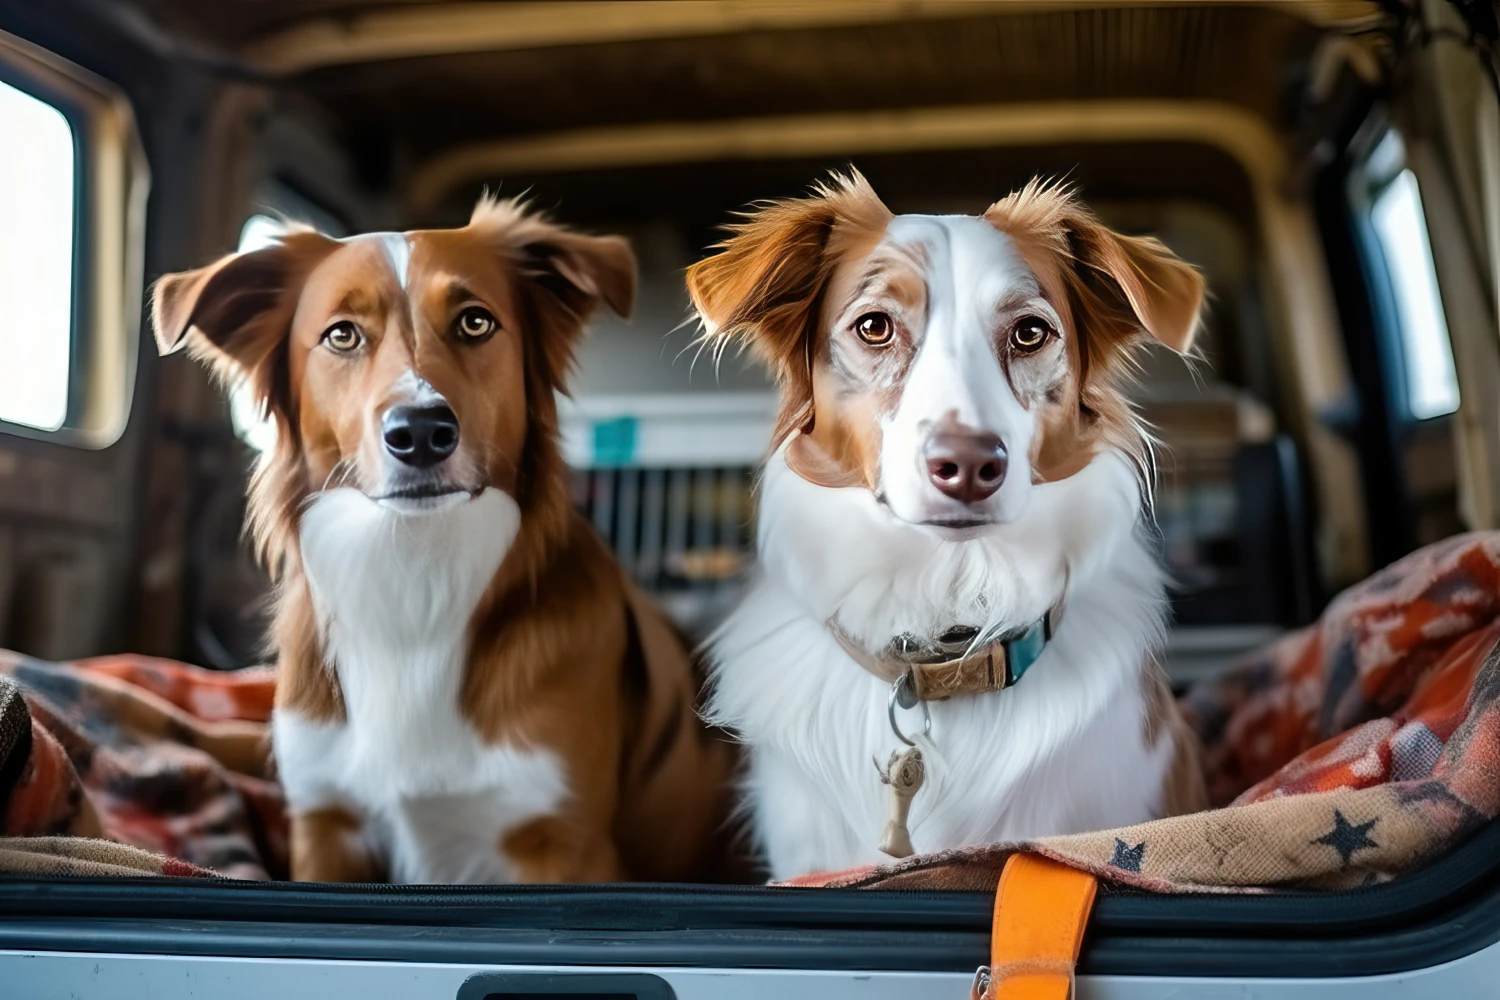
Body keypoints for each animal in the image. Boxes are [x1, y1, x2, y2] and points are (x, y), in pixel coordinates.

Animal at [153, 197, 738, 881]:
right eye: (342, 334)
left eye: (475, 322)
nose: (420, 432)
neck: (415, 576)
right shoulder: (326, 823)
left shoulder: (563, 844)